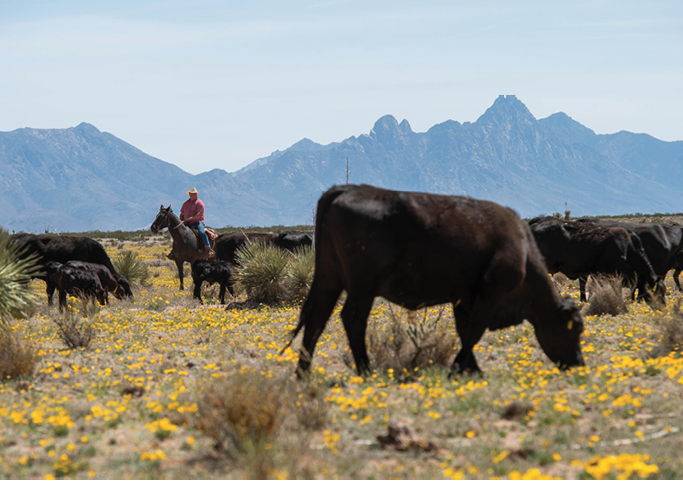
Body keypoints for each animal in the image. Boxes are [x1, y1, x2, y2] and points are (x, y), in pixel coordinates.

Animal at [286, 183, 584, 376]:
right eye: (575, 328)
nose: (579, 364)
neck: (522, 249)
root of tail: (347, 189)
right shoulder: (488, 296)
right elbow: (474, 332)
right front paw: (460, 369)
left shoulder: (465, 299)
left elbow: (465, 331)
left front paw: (472, 369)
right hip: (362, 288)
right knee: (351, 318)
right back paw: (366, 370)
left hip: (329, 279)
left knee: (317, 318)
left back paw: (304, 374)